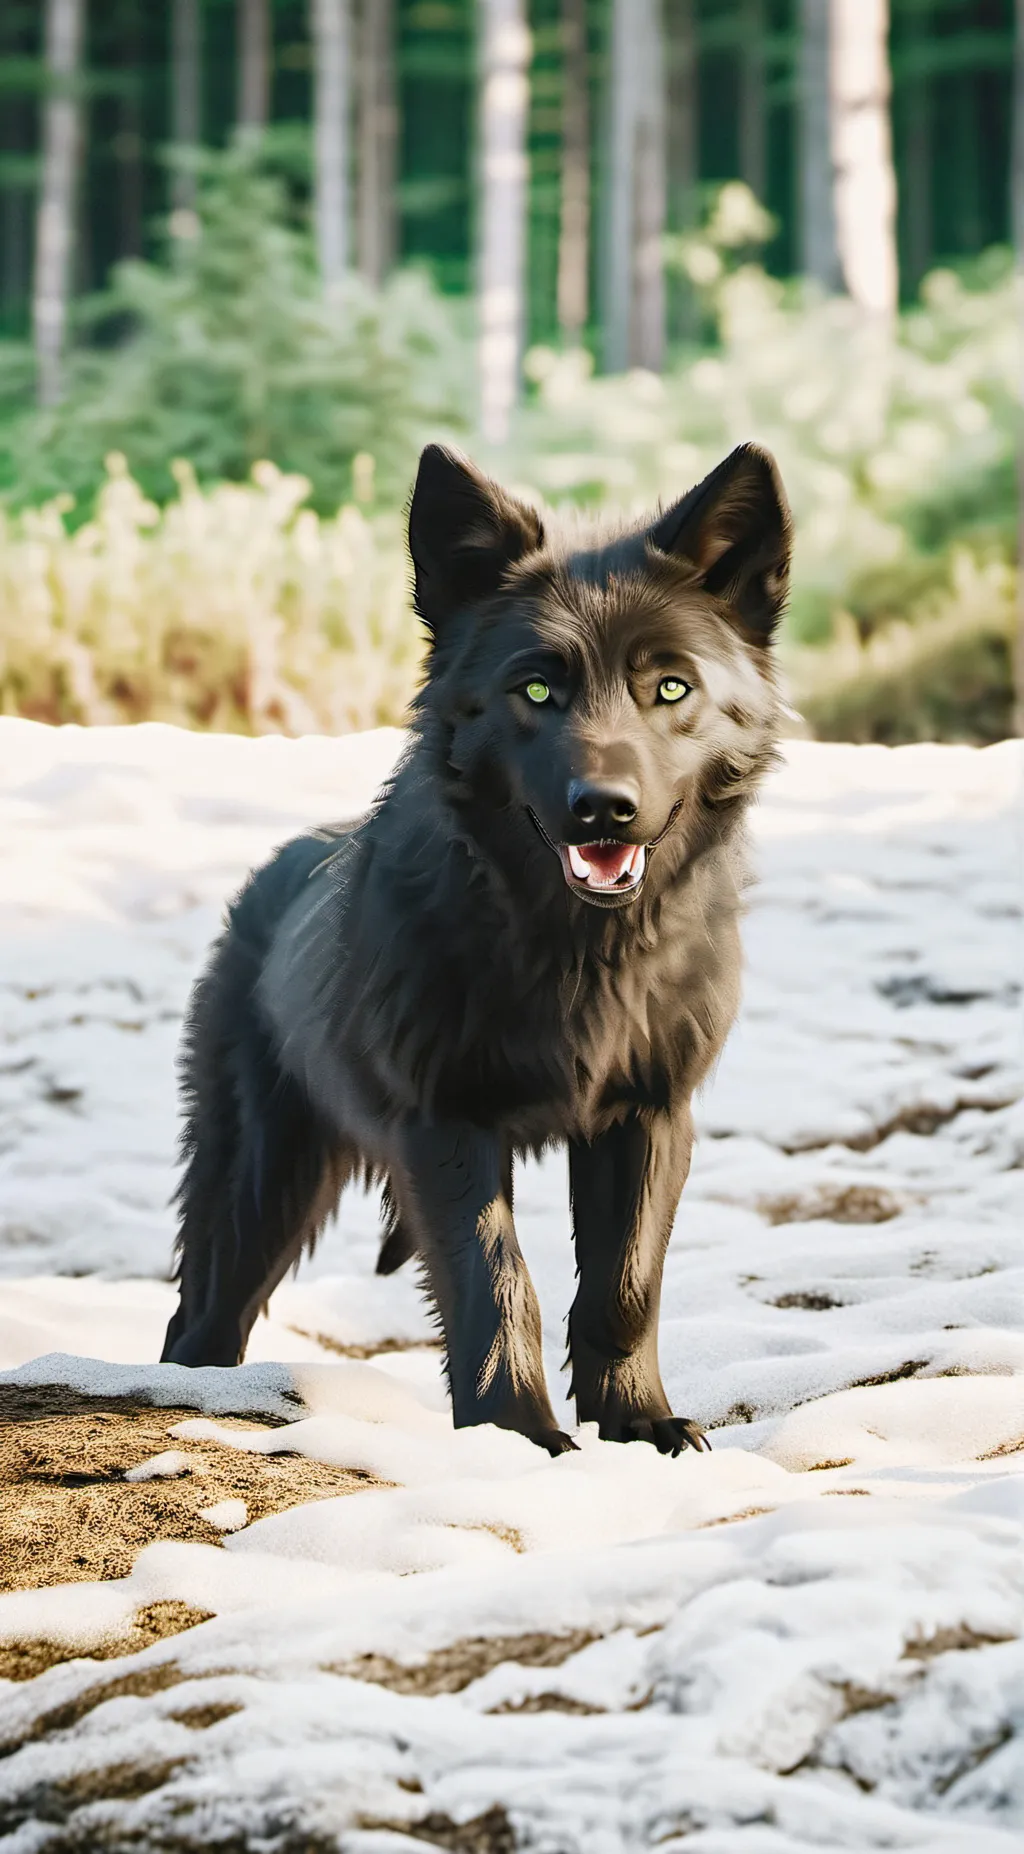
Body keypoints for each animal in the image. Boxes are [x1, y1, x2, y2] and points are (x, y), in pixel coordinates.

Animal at [161, 440, 791, 1457]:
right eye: (535, 689)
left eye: (671, 687)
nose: (603, 808)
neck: (578, 954)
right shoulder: (447, 1124)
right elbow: (496, 1279)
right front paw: (518, 1434)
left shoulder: (649, 1118)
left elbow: (624, 1284)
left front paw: (636, 1423)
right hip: (257, 1186)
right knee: (201, 1317)